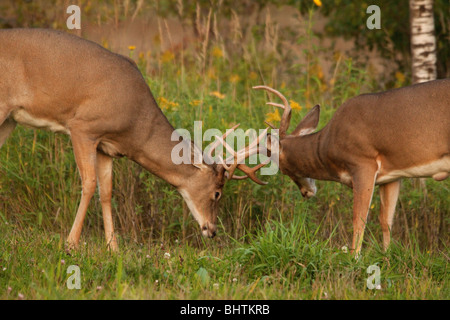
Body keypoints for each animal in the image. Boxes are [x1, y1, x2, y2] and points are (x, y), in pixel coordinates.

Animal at [0, 28, 268, 251]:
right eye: (217, 193)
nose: (212, 230)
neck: (136, 121)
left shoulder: (106, 147)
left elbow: (106, 191)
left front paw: (113, 248)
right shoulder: (83, 128)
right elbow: (89, 184)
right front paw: (71, 243)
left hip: (10, 120)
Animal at [255, 80, 448, 255]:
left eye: (282, 168)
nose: (305, 192)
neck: (328, 143)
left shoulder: (363, 163)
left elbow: (358, 219)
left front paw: (355, 258)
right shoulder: (392, 175)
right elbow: (386, 220)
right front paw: (386, 257)